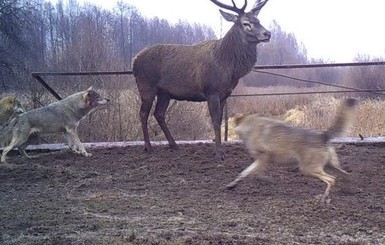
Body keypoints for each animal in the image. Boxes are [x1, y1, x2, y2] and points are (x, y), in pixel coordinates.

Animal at [226, 98, 358, 203]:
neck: (250, 125)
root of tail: (323, 136)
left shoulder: (264, 156)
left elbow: (256, 174)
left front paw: (268, 180)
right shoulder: (258, 159)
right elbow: (244, 173)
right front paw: (232, 184)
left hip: (308, 169)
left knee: (332, 180)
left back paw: (323, 197)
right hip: (329, 166)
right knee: (346, 175)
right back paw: (348, 190)